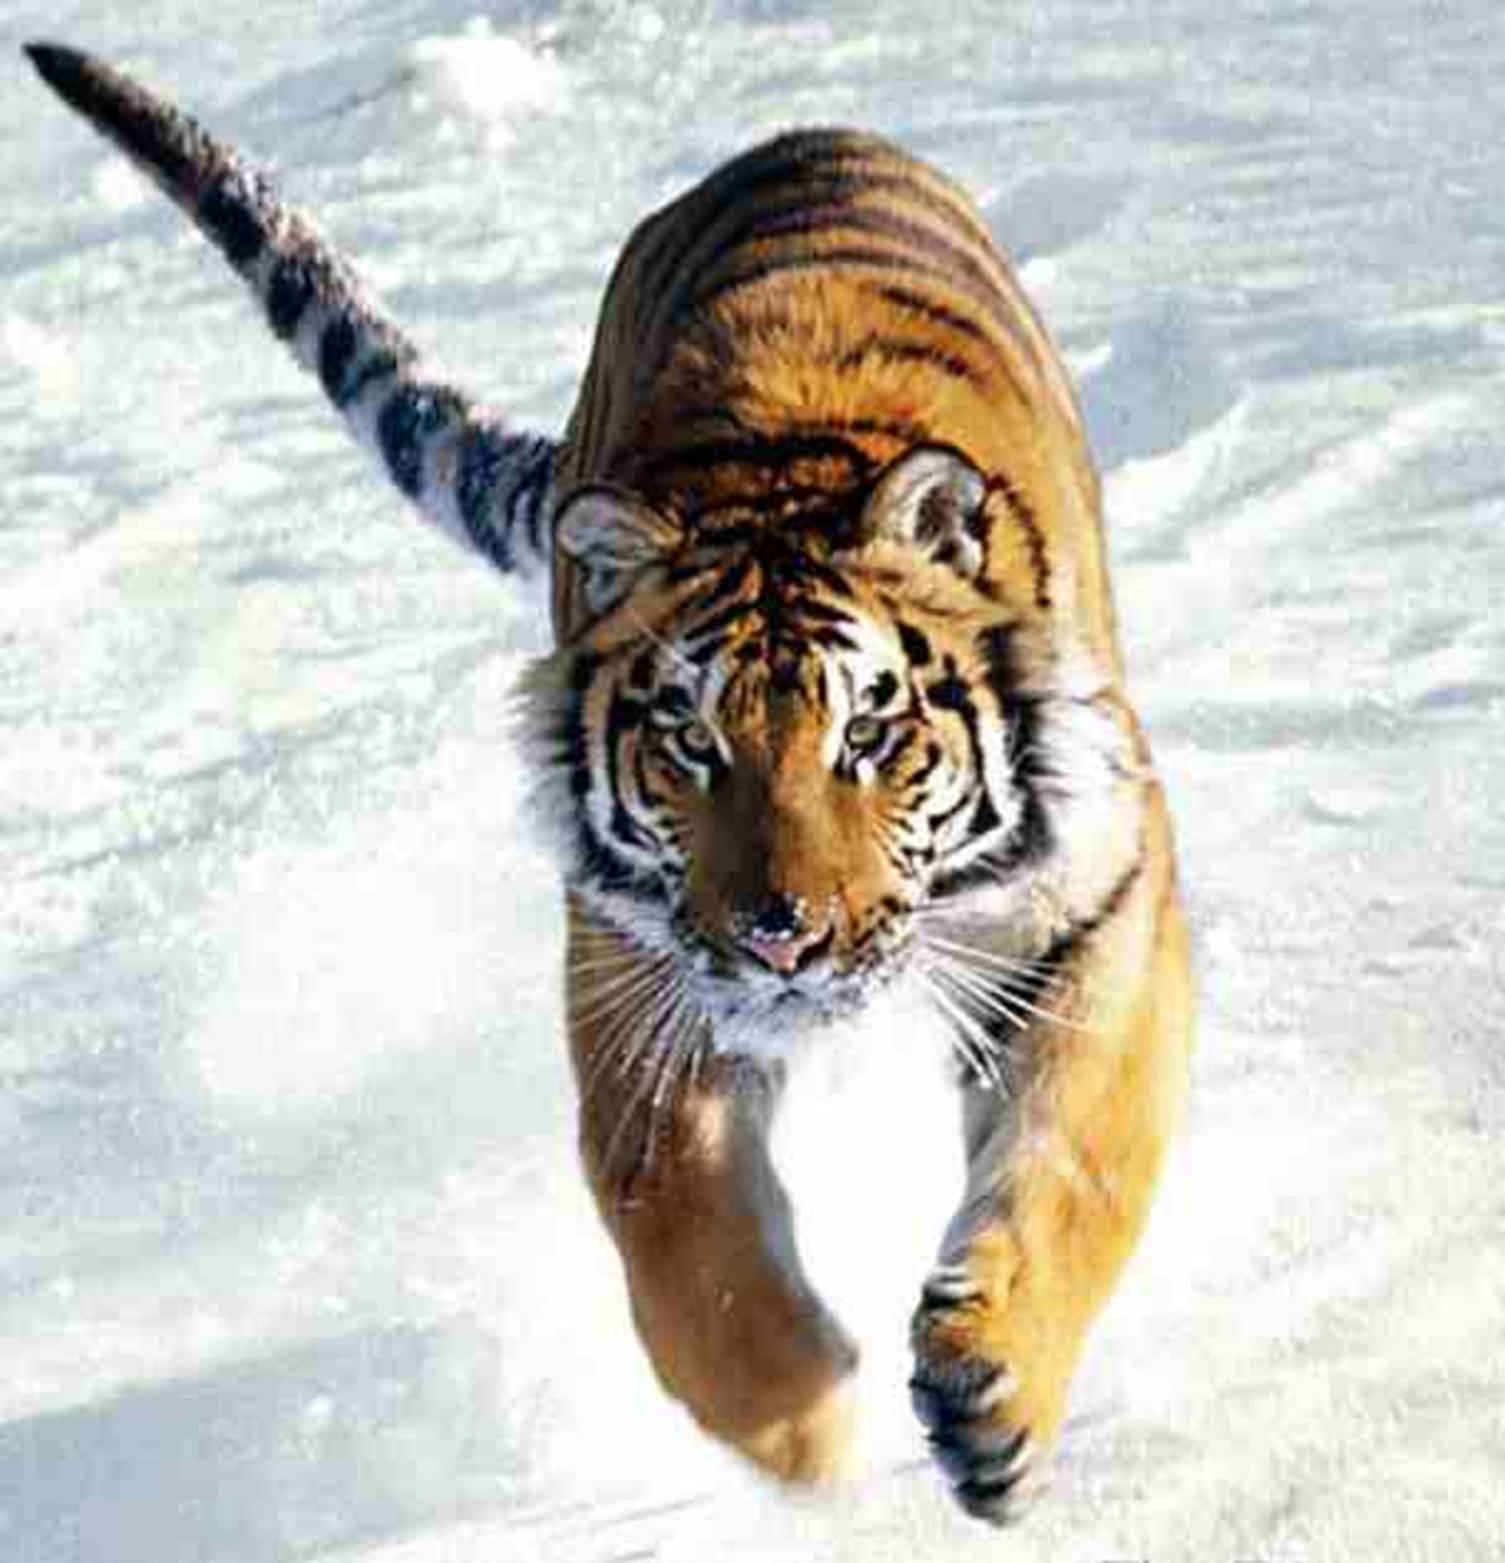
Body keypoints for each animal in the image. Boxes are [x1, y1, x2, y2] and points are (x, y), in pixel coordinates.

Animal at [29, 42, 1193, 1519]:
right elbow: (680, 1236)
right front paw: (801, 1429)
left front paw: (994, 1394)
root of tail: (793, 135)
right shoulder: (634, 969)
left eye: (869, 735)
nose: (782, 938)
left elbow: (1075, 1157)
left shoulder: (1096, 903)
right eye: (691, 742)